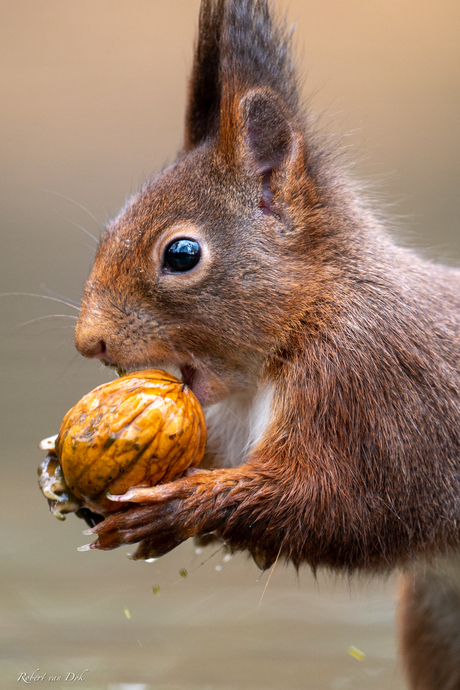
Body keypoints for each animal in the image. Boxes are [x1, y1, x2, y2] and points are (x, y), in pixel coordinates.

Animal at [69, 1, 460, 684]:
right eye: (111, 229)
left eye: (182, 254)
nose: (89, 341)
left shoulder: (374, 390)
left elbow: (341, 508)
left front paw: (182, 505)